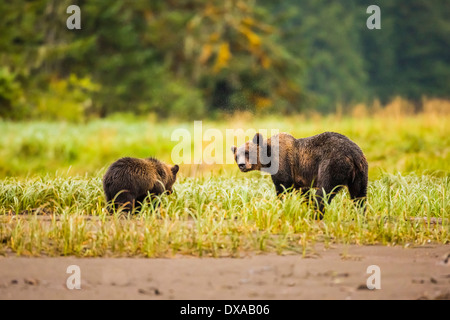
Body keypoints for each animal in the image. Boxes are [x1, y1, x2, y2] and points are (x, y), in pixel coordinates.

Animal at [232, 131, 370, 219]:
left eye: (247, 152)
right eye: (237, 156)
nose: (241, 165)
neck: (269, 158)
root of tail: (353, 154)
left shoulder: (284, 163)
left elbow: (282, 187)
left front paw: (281, 207)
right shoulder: (299, 179)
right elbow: (304, 193)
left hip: (332, 164)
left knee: (324, 191)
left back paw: (315, 216)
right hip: (361, 172)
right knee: (359, 195)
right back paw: (360, 215)